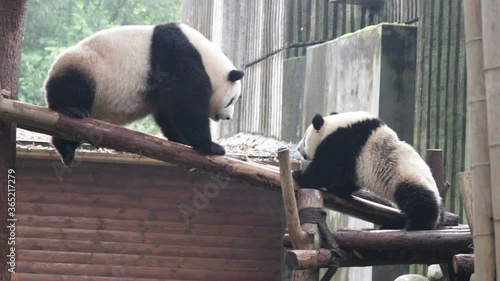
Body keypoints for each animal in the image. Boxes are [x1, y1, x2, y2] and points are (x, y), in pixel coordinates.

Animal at [45, 23, 244, 166]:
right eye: (231, 100)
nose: (227, 117)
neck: (206, 57)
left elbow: (168, 113)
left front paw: (182, 141)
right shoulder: (177, 57)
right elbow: (185, 104)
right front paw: (211, 146)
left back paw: (66, 149)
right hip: (86, 66)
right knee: (74, 86)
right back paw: (73, 109)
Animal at [292, 110, 446, 229]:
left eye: (304, 139)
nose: (298, 149)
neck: (335, 126)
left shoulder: (344, 143)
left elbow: (326, 168)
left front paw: (299, 175)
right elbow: (348, 179)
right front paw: (338, 189)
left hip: (408, 180)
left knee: (419, 202)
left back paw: (418, 225)